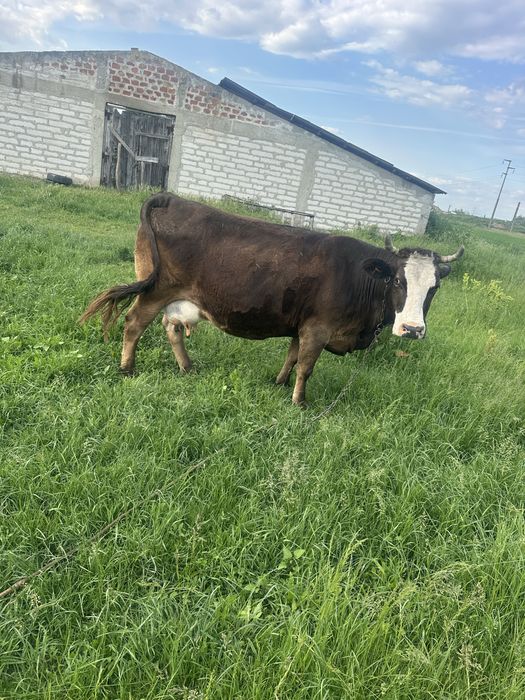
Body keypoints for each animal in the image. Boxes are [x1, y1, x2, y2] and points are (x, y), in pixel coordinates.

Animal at [80, 193, 464, 406]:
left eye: (434, 288)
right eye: (398, 281)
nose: (412, 329)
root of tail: (171, 198)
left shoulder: (303, 325)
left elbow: (292, 357)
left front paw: (279, 385)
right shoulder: (319, 327)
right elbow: (306, 366)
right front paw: (299, 402)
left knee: (171, 329)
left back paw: (187, 368)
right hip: (156, 289)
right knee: (134, 323)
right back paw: (127, 369)